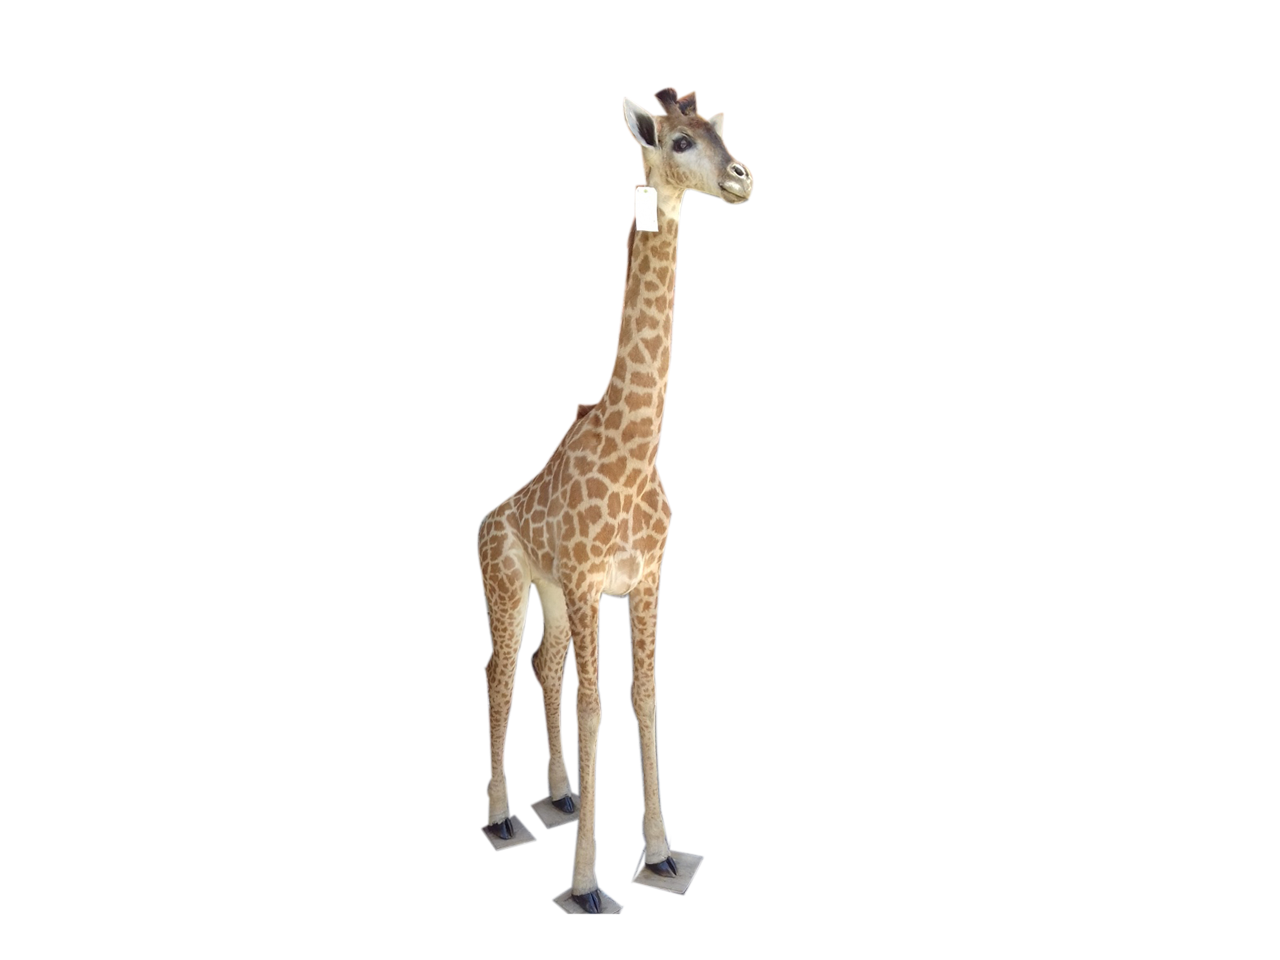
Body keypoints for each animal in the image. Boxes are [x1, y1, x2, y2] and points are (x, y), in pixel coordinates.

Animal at [476, 86, 752, 914]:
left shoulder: (647, 578)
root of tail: (487, 519)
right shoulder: (592, 580)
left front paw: (659, 855)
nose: (742, 178)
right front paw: (587, 882)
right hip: (508, 580)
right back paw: (504, 817)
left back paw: (560, 796)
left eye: (719, 134)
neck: (637, 451)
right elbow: (596, 706)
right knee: (502, 671)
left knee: (542, 666)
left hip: (551, 591)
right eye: (679, 142)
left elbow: (645, 695)